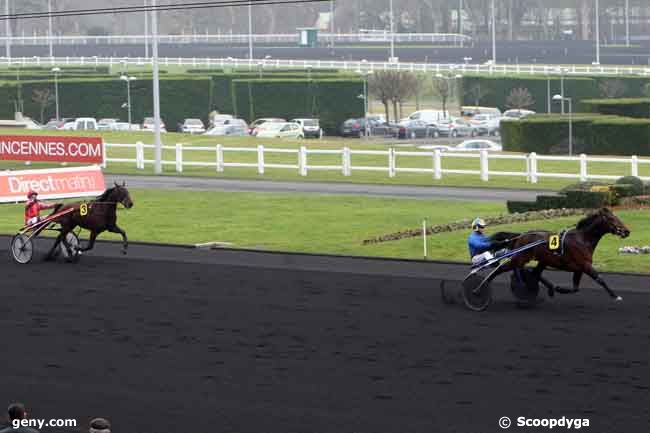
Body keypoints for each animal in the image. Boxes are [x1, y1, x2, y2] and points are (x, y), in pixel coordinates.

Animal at [492, 208, 628, 302]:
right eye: (612, 219)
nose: (627, 231)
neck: (582, 239)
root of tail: (520, 235)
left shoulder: (579, 268)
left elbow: (575, 288)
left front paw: (559, 289)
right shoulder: (585, 265)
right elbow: (600, 279)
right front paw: (615, 296)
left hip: (543, 260)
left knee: (534, 273)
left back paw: (549, 289)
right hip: (520, 257)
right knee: (502, 269)